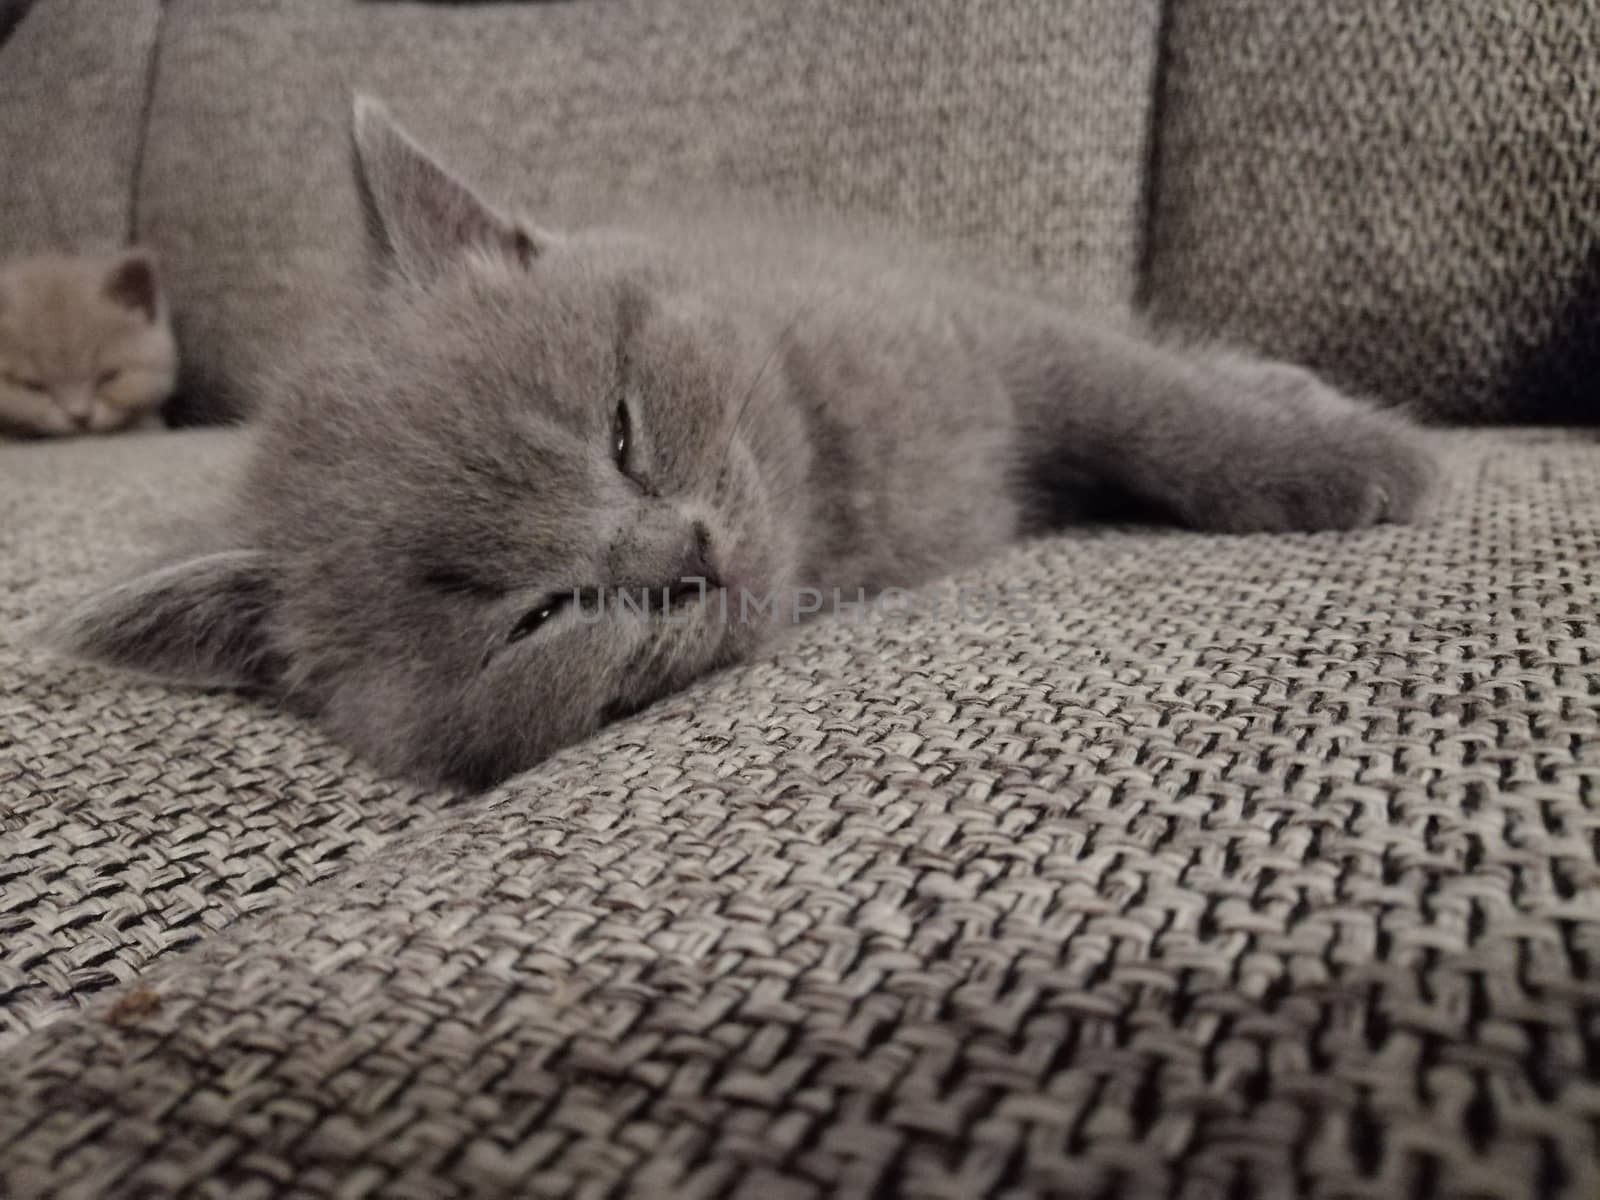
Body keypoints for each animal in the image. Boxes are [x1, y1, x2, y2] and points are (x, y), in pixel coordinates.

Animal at [56, 98, 1440, 793]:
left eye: (621, 430)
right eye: (539, 617)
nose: (682, 553)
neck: (833, 498)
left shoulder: (979, 328)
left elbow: (1147, 400)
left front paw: (1350, 463)